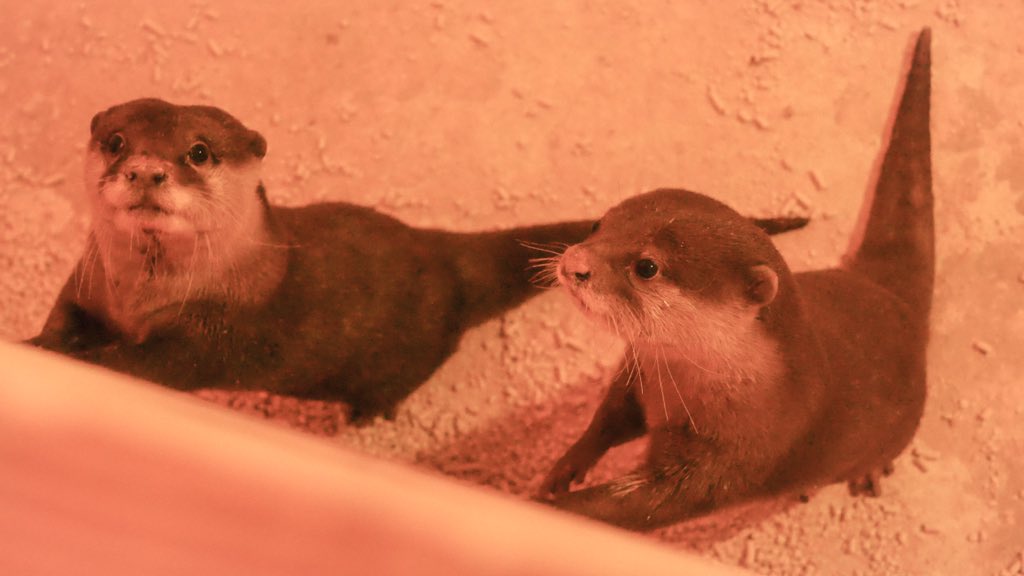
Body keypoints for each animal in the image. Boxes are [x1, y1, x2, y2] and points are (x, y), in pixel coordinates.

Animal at [29, 96, 806, 420]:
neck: (139, 296)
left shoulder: (210, 334)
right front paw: (40, 341)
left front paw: (75, 358)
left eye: (197, 152)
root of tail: (441, 250)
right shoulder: (86, 284)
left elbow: (143, 364)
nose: (147, 171)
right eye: (118, 140)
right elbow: (63, 318)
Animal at [540, 29, 933, 528]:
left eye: (647, 266)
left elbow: (643, 505)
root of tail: (887, 296)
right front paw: (566, 465)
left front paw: (549, 509)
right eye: (598, 225)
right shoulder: (637, 375)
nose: (574, 263)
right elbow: (611, 415)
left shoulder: (736, 456)